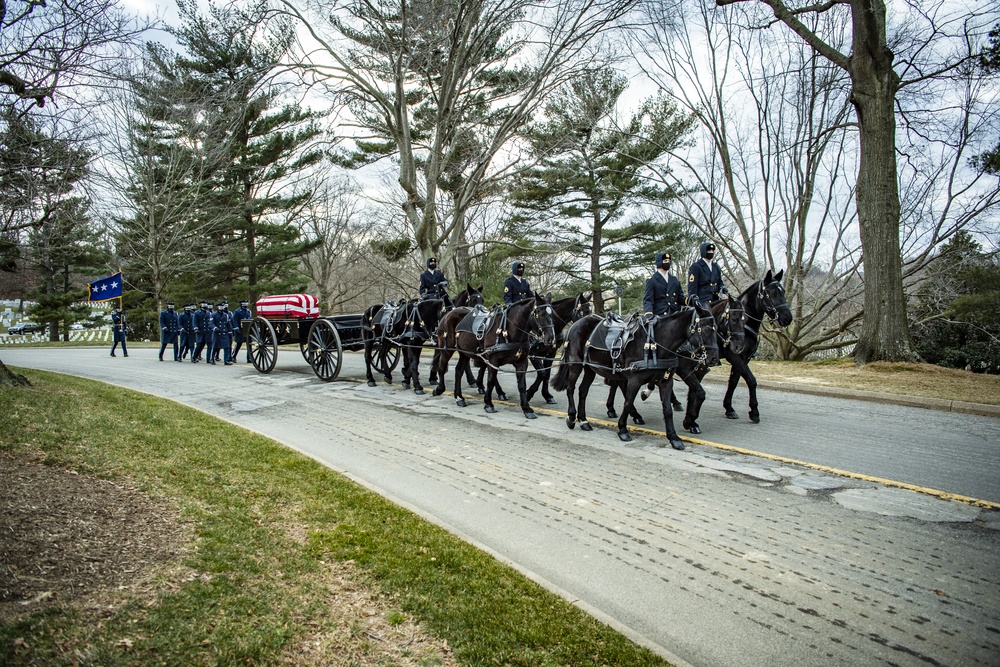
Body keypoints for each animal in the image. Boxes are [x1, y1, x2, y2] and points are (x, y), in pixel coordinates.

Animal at [548, 308, 720, 448]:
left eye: (716, 329)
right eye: (706, 329)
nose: (714, 358)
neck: (655, 343)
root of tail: (575, 325)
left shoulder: (666, 381)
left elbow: (667, 410)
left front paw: (674, 437)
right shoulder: (635, 380)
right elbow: (627, 403)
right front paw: (623, 429)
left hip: (591, 368)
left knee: (583, 391)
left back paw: (583, 420)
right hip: (575, 365)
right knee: (571, 389)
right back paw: (571, 417)